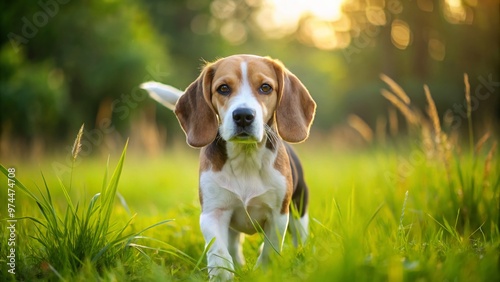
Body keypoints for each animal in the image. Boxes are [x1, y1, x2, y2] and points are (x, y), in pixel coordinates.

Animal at [140, 54, 316, 278]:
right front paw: (222, 274)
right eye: (223, 88)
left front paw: (263, 271)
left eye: (265, 87)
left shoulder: (278, 215)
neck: (245, 158)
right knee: (233, 245)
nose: (243, 115)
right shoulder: (213, 212)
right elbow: (219, 252)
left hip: (298, 210)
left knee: (299, 237)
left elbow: (269, 250)